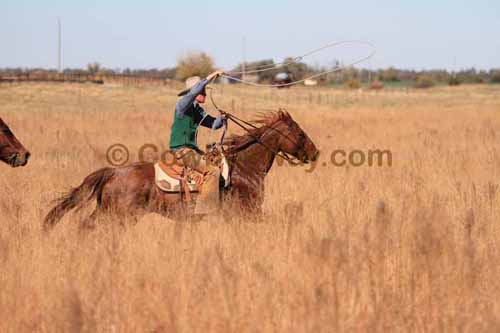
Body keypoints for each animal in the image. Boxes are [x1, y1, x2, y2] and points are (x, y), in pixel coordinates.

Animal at [43, 110, 316, 230]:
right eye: (300, 133)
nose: (315, 153)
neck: (244, 169)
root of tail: (112, 171)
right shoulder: (248, 213)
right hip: (118, 216)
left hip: (107, 211)